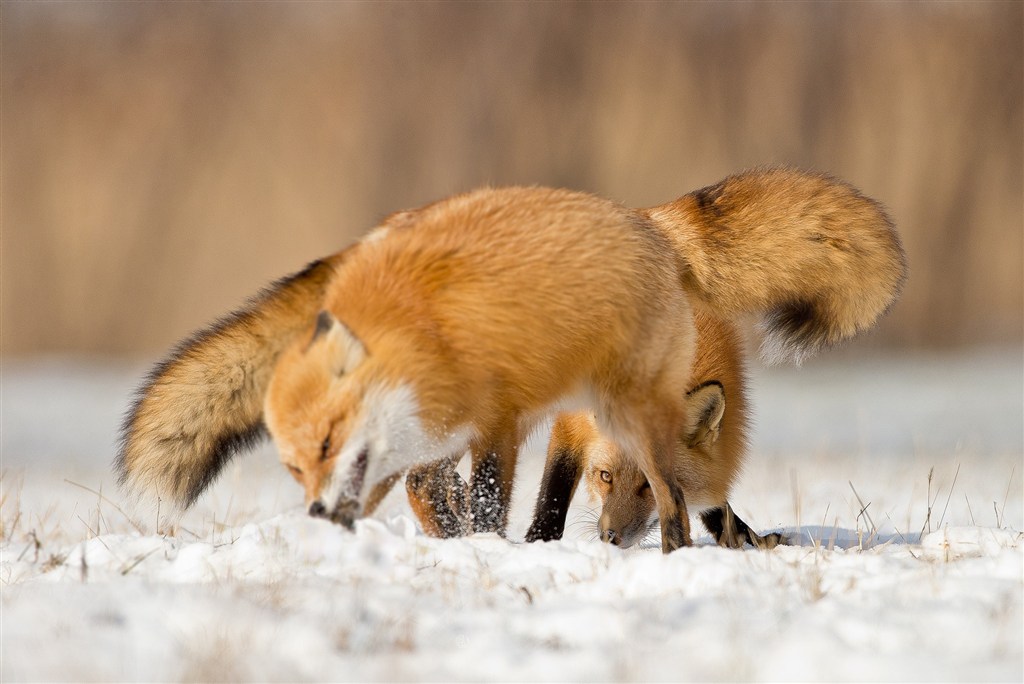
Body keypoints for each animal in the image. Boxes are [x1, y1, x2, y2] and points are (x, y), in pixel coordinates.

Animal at [524, 313, 778, 548]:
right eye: (606, 476)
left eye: (650, 484)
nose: (609, 537)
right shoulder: (571, 422)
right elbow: (555, 488)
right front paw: (539, 541)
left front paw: (749, 539)